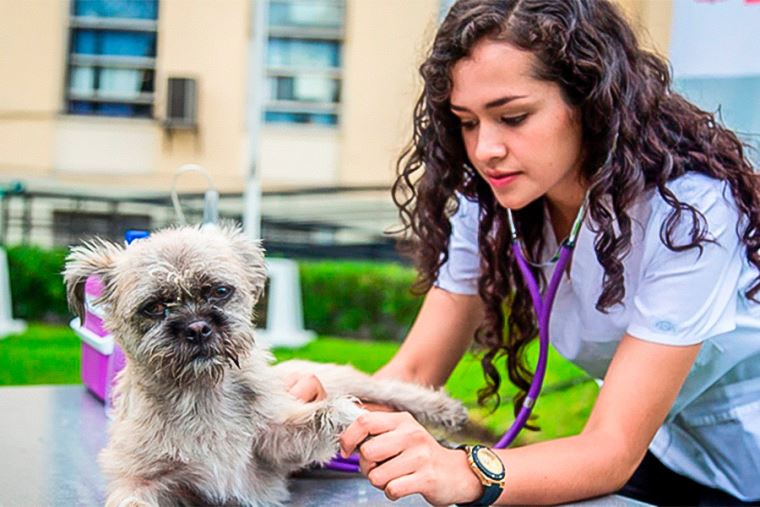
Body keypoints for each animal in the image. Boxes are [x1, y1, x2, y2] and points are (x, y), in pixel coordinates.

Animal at [63, 225, 470, 507]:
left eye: (220, 291)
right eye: (154, 307)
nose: (197, 327)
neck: (201, 393)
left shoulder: (272, 444)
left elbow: (324, 415)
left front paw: (354, 419)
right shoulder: (140, 480)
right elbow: (133, 497)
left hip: (346, 380)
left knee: (391, 390)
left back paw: (445, 412)